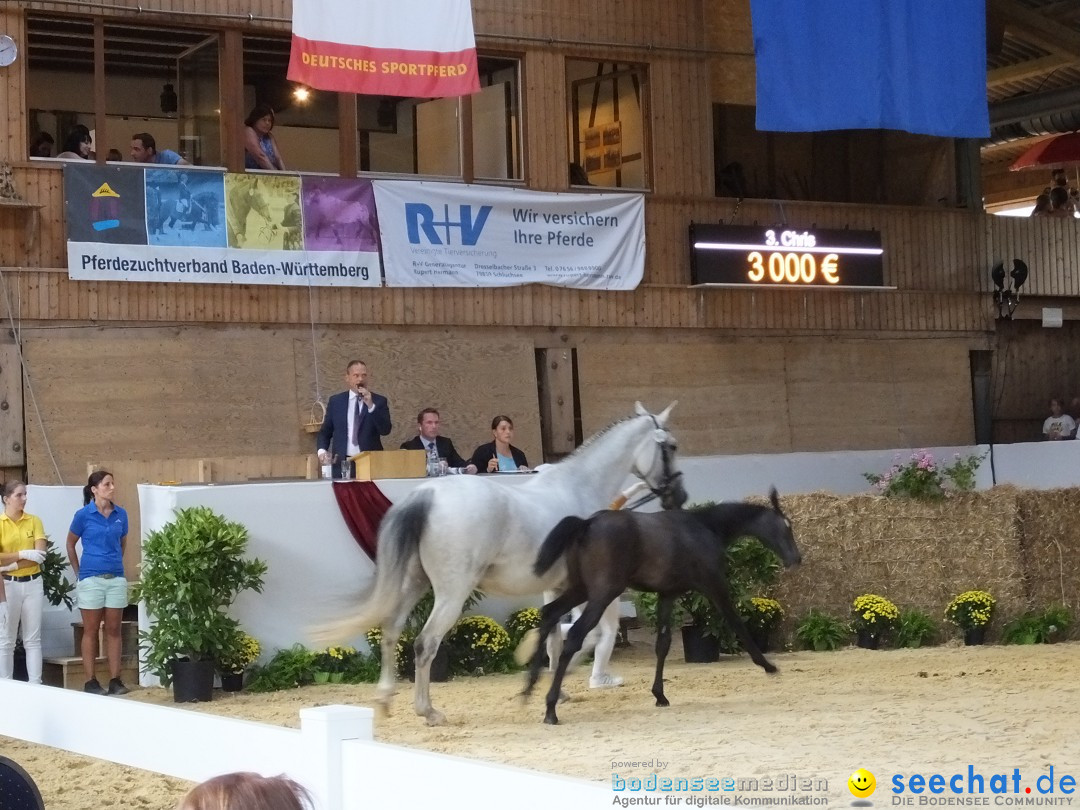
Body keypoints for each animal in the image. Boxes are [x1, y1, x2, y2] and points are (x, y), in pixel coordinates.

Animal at [317, 403, 682, 725]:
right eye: (672, 446)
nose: (677, 496)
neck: (576, 489)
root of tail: (427, 494)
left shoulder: (555, 586)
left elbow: (555, 636)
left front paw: (552, 685)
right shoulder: (586, 588)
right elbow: (583, 635)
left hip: (414, 583)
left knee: (392, 631)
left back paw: (384, 701)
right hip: (451, 592)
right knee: (425, 643)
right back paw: (429, 712)